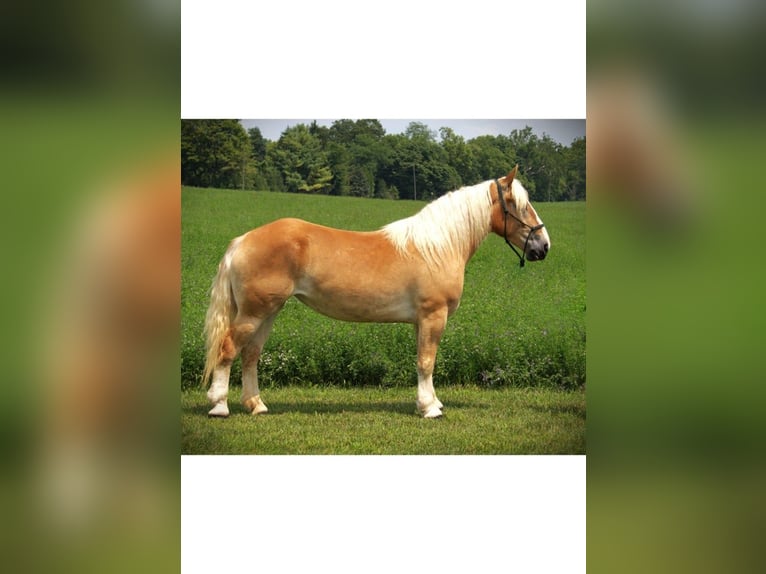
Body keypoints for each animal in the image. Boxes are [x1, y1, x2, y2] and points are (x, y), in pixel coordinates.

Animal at [202, 165, 550, 418]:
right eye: (520, 206)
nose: (543, 246)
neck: (437, 247)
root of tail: (242, 241)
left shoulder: (421, 322)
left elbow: (423, 362)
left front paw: (430, 402)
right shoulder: (433, 316)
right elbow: (427, 362)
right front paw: (430, 409)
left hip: (269, 311)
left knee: (251, 354)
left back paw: (257, 405)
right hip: (254, 312)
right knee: (228, 349)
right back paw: (220, 406)